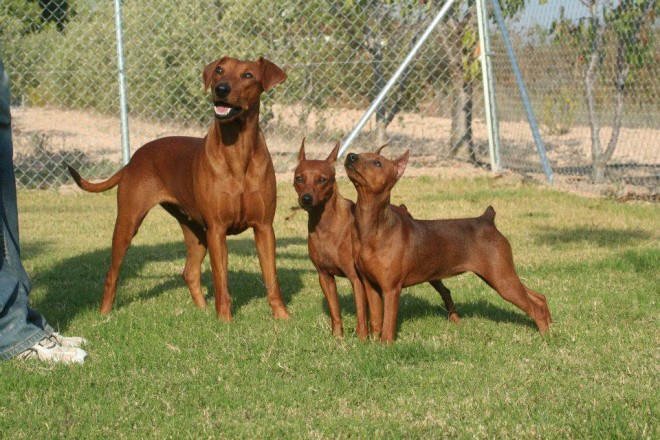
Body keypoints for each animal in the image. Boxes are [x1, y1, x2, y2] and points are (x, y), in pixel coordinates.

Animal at [67, 56, 288, 322]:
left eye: (248, 76)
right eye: (219, 71)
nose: (221, 89)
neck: (238, 150)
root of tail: (133, 159)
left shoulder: (264, 228)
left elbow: (272, 278)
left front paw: (282, 316)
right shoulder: (217, 229)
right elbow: (221, 280)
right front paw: (225, 320)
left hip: (196, 231)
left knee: (189, 272)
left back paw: (203, 310)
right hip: (129, 222)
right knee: (112, 273)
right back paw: (104, 315)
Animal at [294, 141, 458, 340]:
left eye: (322, 180)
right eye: (298, 178)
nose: (307, 199)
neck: (326, 225)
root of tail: (402, 209)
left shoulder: (356, 278)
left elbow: (361, 313)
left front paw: (361, 339)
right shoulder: (324, 276)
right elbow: (335, 312)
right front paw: (338, 337)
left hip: (428, 268)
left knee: (444, 290)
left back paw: (454, 318)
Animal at [346, 146, 552, 342]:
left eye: (377, 163)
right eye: (361, 153)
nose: (350, 156)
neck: (372, 227)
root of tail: (487, 220)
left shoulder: (391, 289)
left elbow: (388, 325)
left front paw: (385, 345)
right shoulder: (370, 285)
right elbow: (376, 320)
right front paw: (372, 344)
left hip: (502, 279)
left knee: (535, 308)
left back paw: (546, 338)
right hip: (500, 276)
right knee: (539, 297)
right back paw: (550, 326)